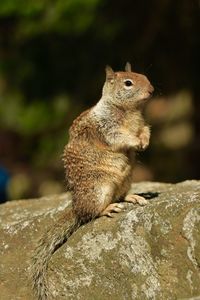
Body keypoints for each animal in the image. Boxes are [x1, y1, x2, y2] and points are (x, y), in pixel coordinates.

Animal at [30, 62, 154, 298]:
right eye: (128, 83)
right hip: (98, 188)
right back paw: (107, 209)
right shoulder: (107, 128)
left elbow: (145, 129)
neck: (129, 112)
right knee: (92, 213)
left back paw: (133, 197)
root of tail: (76, 207)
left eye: (144, 75)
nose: (151, 90)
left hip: (125, 181)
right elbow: (120, 137)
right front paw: (136, 142)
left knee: (120, 196)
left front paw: (144, 141)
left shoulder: (142, 123)